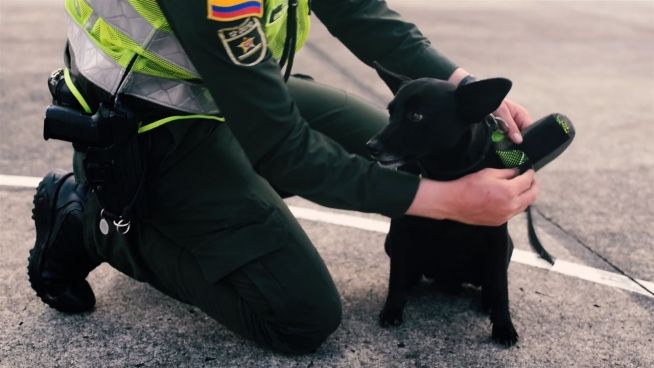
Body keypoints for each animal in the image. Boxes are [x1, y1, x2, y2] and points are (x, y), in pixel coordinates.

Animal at [372, 64, 520, 344]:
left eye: (416, 116)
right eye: (390, 112)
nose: (371, 146)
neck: (446, 172)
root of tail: (449, 282)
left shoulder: (497, 236)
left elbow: (501, 286)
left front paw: (504, 326)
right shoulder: (400, 229)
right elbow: (396, 274)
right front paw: (392, 309)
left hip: (507, 247)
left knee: (491, 282)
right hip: (390, 243)